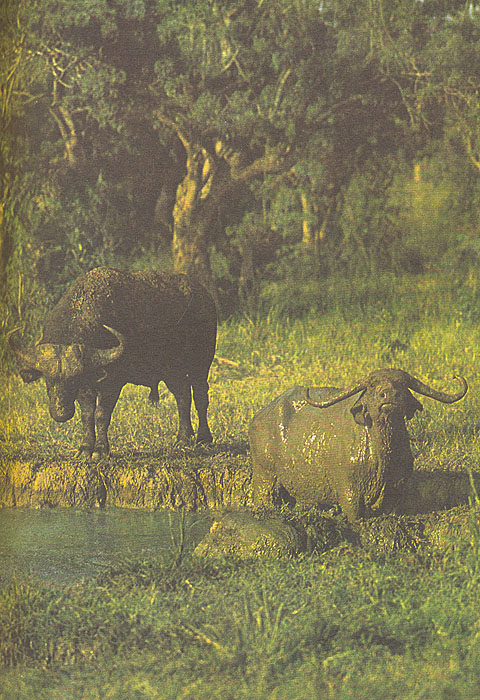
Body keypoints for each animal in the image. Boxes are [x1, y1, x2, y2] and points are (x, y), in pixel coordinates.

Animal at [9, 266, 217, 454]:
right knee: (182, 395)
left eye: (72, 380)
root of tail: (205, 296)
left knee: (200, 396)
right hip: (172, 370)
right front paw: (85, 448)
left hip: (201, 362)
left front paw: (101, 449)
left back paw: (204, 439)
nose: (61, 413)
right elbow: (87, 415)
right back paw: (183, 438)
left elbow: (102, 414)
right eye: (48, 379)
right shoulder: (87, 385)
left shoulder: (113, 382)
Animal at [249, 370, 466, 524]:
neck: (380, 454)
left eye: (402, 384)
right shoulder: (348, 489)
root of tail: (260, 416)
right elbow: (353, 513)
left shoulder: (397, 486)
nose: (389, 395)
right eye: (372, 385)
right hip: (265, 473)